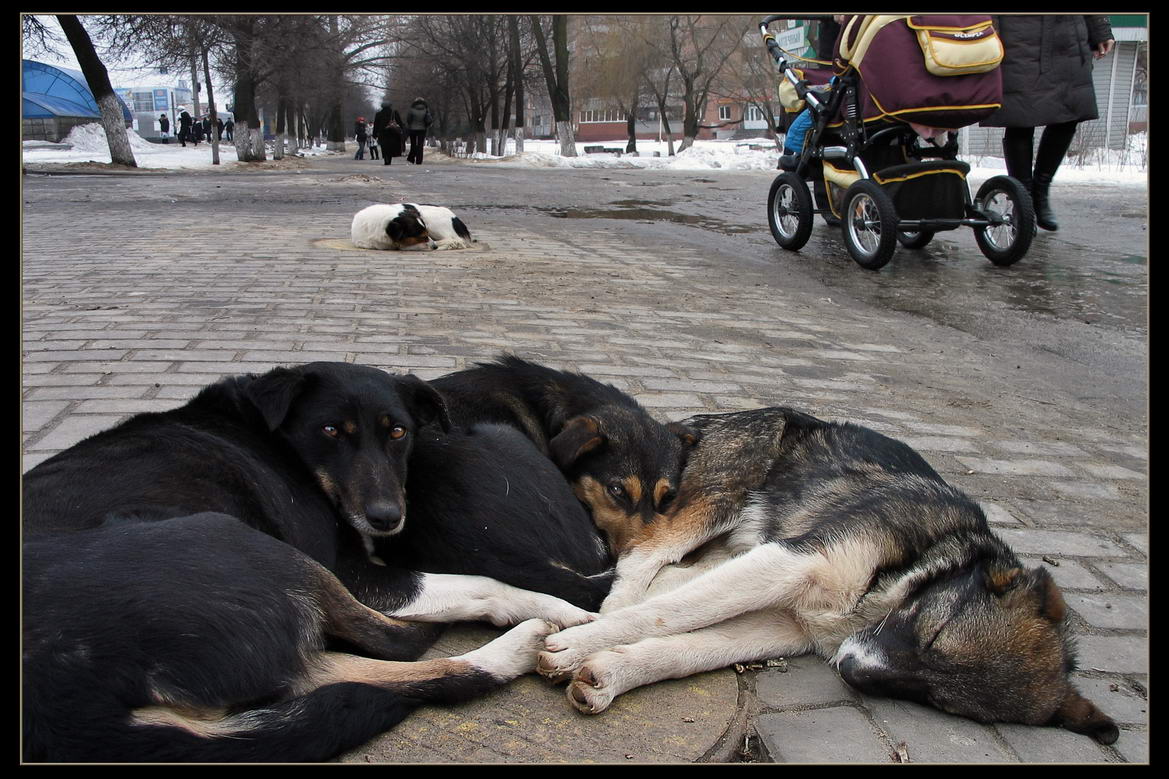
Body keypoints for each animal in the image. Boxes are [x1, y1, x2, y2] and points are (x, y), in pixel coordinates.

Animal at [23, 362, 607, 757]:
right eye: (330, 431)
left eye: (398, 432)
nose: (387, 518)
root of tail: (63, 707)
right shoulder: (351, 570)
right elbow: (475, 583)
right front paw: (557, 606)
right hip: (241, 542)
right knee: (404, 648)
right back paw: (530, 632)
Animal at [540, 407, 1122, 739]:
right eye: (934, 634)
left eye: (937, 700)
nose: (848, 670)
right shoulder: (790, 560)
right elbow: (667, 616)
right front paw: (577, 646)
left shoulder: (786, 623)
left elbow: (686, 648)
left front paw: (610, 672)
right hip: (723, 501)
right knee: (642, 559)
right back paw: (605, 609)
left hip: (731, 549)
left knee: (667, 575)